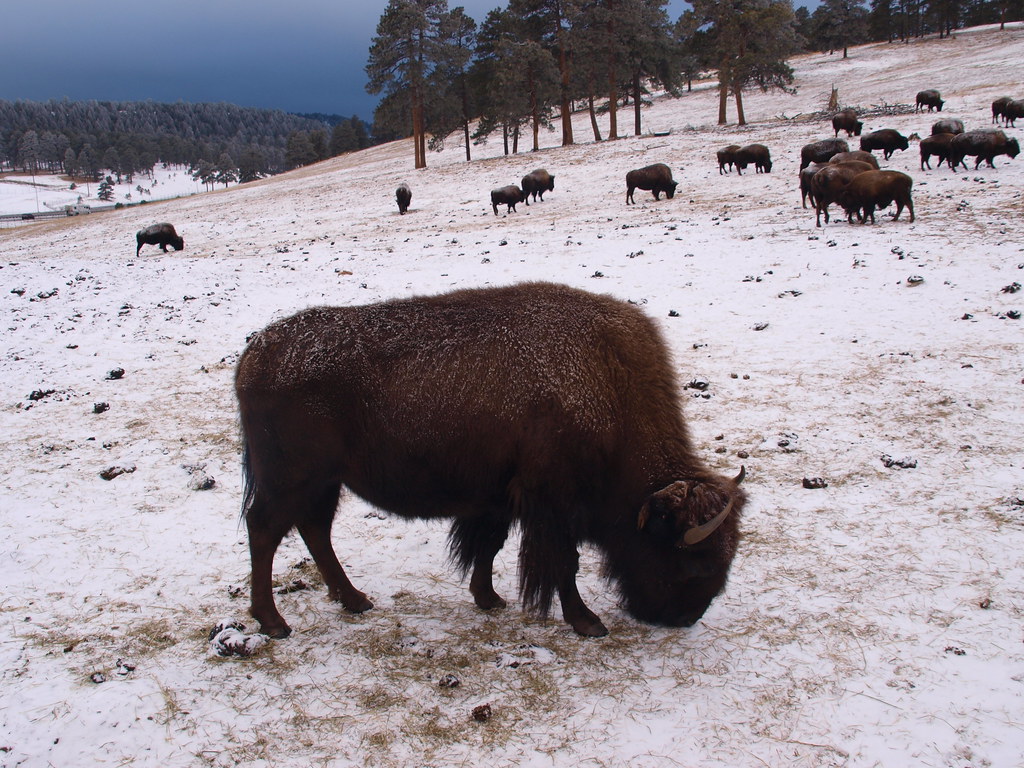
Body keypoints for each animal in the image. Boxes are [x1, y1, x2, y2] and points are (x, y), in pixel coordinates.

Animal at [235, 282, 747, 639]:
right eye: (694, 563)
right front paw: (587, 622)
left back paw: (355, 600)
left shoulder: (500, 498)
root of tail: (256, 353)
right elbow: (562, 564)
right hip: (291, 480)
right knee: (265, 530)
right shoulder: (552, 504)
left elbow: (489, 546)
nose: (684, 618)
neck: (607, 382)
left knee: (314, 531)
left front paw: (488, 598)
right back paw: (274, 623)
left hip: (324, 483)